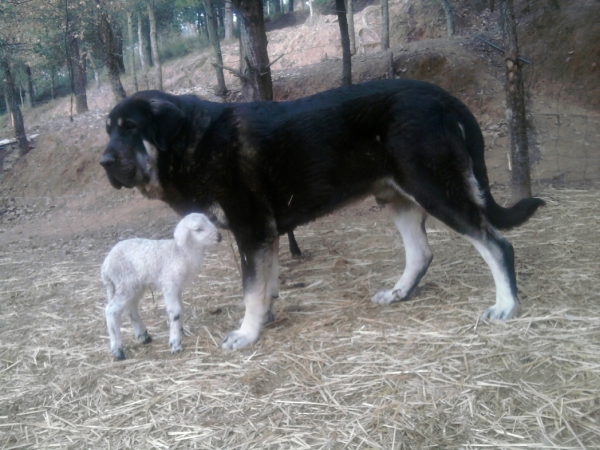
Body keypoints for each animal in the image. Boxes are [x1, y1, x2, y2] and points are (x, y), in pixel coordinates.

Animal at [102, 213, 221, 360]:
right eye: (198, 229)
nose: (220, 237)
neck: (181, 252)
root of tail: (105, 266)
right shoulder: (169, 283)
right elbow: (175, 312)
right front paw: (175, 343)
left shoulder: (178, 287)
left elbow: (181, 309)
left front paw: (180, 331)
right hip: (125, 282)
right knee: (111, 310)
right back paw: (118, 351)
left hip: (135, 285)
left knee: (130, 309)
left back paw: (143, 336)